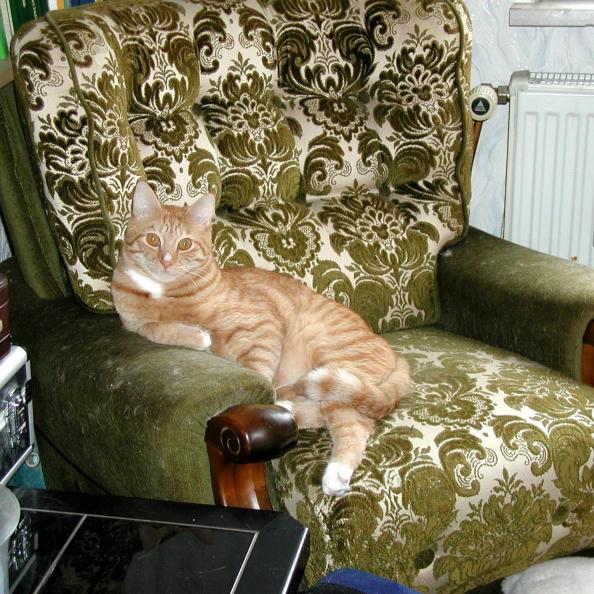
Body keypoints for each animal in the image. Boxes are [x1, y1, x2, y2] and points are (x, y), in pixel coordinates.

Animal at [111, 181, 411, 496]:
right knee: (329, 411)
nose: (166, 261)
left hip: (335, 359)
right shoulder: (132, 322)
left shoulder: (262, 327)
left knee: (353, 421)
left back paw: (335, 471)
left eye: (184, 244)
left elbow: (258, 372)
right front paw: (196, 335)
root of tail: (394, 353)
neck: (164, 293)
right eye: (153, 239)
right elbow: (154, 328)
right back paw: (288, 409)